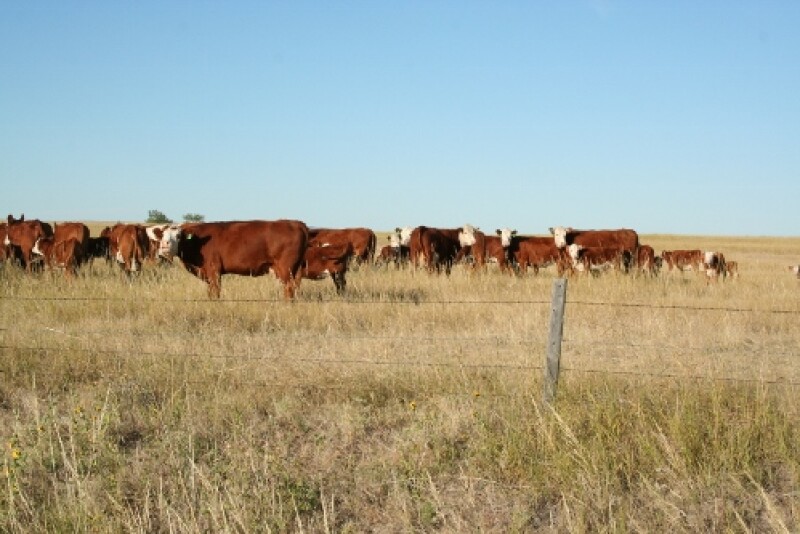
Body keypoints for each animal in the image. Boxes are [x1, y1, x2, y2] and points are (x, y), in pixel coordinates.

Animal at [164, 220, 309, 299]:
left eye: (178, 236)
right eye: (162, 236)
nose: (165, 245)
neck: (198, 241)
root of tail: (295, 223)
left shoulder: (214, 270)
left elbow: (215, 292)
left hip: (286, 269)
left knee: (289, 289)